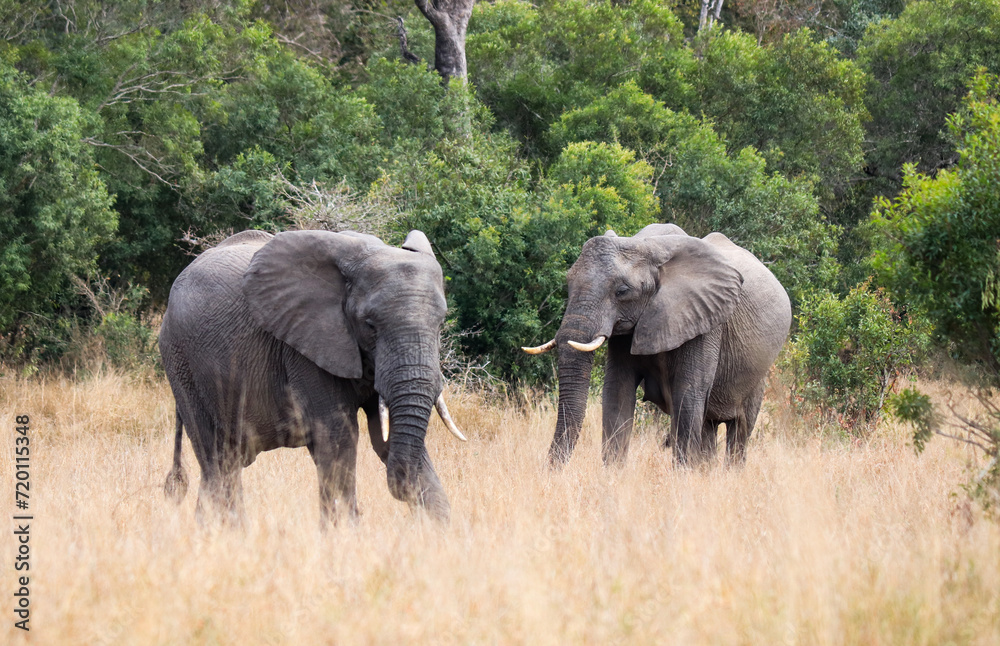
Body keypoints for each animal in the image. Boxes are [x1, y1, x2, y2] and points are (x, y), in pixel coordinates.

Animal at [159, 228, 466, 525]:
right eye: (370, 325)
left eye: (440, 324)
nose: (401, 486)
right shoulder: (305, 347)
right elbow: (339, 437)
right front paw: (344, 533)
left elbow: (386, 436)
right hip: (181, 362)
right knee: (217, 460)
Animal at [523, 224, 791, 467]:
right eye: (568, 282)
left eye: (622, 291)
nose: (550, 473)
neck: (648, 245)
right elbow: (617, 394)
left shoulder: (706, 322)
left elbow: (688, 395)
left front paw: (683, 479)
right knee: (708, 426)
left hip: (758, 374)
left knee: (739, 429)